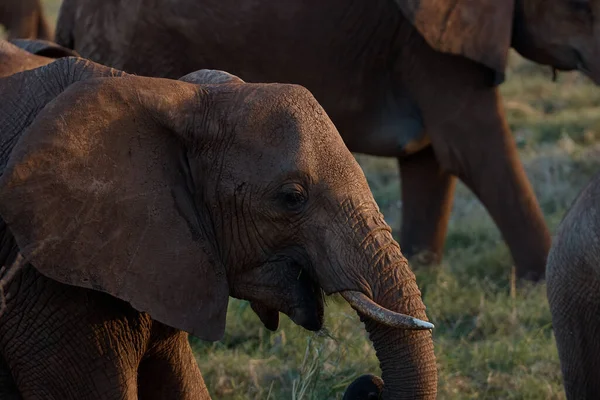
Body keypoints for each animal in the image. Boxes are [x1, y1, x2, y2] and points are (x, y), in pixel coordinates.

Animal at [52, 0, 600, 282]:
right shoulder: (424, 44)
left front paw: (423, 266)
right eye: (579, 8)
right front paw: (541, 280)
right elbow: (472, 146)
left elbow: (429, 157)